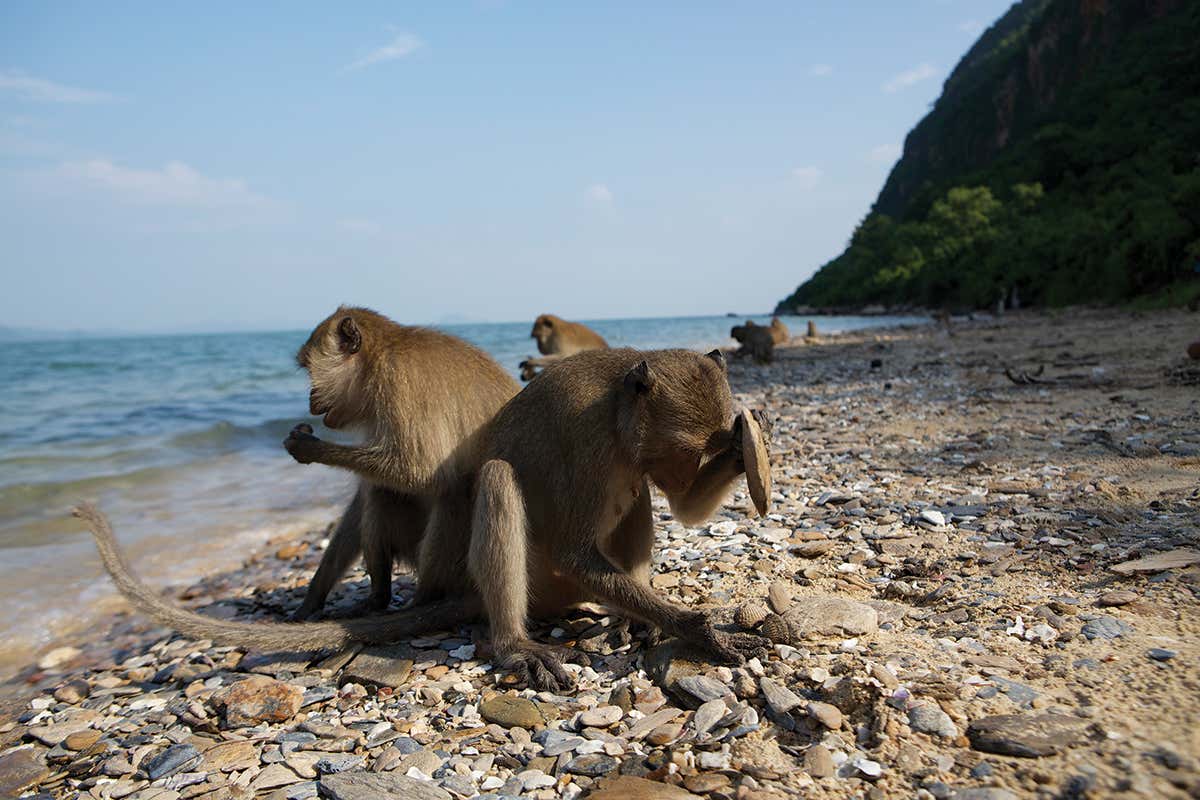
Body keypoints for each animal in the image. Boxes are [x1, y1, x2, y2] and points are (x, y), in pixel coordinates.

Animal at [76, 348, 773, 691]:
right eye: (684, 450)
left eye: (702, 450)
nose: (688, 468)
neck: (618, 413)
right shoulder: (588, 441)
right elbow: (577, 549)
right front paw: (701, 629)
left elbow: (681, 510)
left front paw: (744, 446)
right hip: (538, 582)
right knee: (499, 481)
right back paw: (515, 641)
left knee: (632, 501)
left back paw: (630, 616)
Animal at [285, 306, 520, 619]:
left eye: (311, 370)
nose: (310, 397)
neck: (378, 355)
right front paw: (314, 595)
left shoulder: (397, 381)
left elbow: (421, 473)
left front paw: (309, 447)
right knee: (381, 492)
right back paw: (379, 597)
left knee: (451, 489)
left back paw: (424, 597)